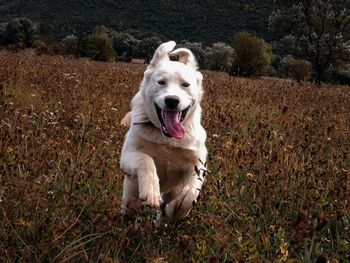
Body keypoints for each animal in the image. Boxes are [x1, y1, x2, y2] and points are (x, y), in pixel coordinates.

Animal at [121, 40, 208, 219]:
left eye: (185, 84)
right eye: (161, 82)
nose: (172, 100)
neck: (167, 138)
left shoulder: (198, 163)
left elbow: (190, 193)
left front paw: (175, 209)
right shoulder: (127, 155)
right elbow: (145, 159)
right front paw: (151, 192)